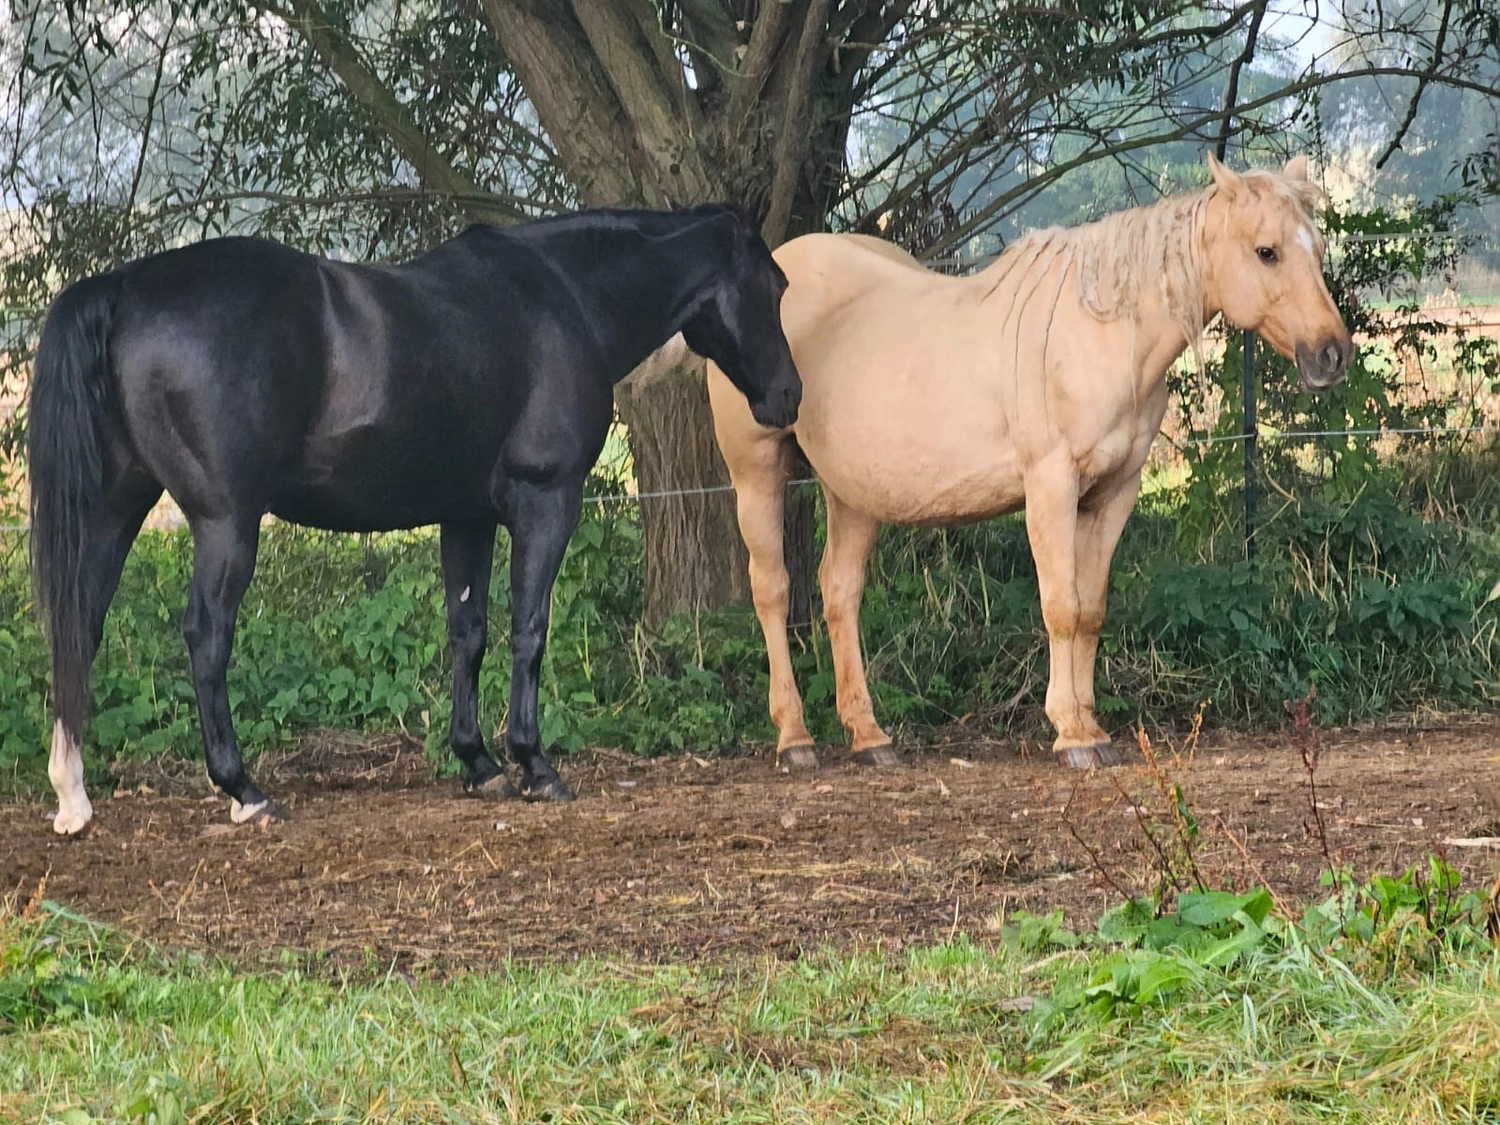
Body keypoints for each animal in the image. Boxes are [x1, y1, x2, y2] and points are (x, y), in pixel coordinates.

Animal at [29, 204, 801, 835]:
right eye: (775, 285)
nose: (789, 396)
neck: (565, 296)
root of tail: (124, 288)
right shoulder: (546, 501)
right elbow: (529, 629)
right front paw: (535, 765)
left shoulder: (467, 517)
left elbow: (469, 632)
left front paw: (479, 762)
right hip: (226, 523)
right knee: (205, 637)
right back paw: (244, 789)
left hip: (115, 510)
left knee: (79, 625)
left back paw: (73, 798)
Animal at [707, 155, 1352, 771]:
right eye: (1266, 251)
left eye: (1317, 248)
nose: (1332, 355)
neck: (1100, 333)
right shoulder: (1052, 486)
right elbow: (1061, 607)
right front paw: (1070, 734)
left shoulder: (1113, 495)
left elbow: (1091, 611)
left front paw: (1093, 727)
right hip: (756, 472)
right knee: (773, 591)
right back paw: (794, 739)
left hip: (853, 493)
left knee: (840, 593)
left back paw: (869, 738)